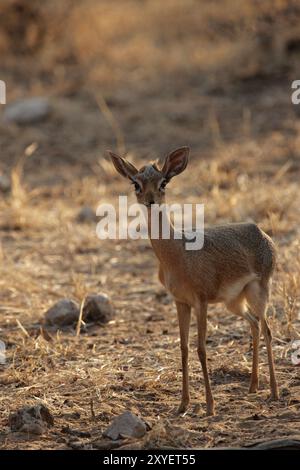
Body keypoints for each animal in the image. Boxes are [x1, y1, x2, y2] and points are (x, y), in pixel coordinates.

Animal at [108, 147, 278, 414]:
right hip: (234, 302)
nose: (150, 201)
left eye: (163, 182)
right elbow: (184, 349)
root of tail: (261, 232)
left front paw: (209, 405)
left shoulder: (201, 302)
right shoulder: (181, 302)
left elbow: (201, 349)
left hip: (259, 292)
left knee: (268, 330)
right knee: (254, 325)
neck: (177, 252)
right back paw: (253, 386)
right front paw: (183, 404)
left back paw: (274, 392)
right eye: (136, 183)